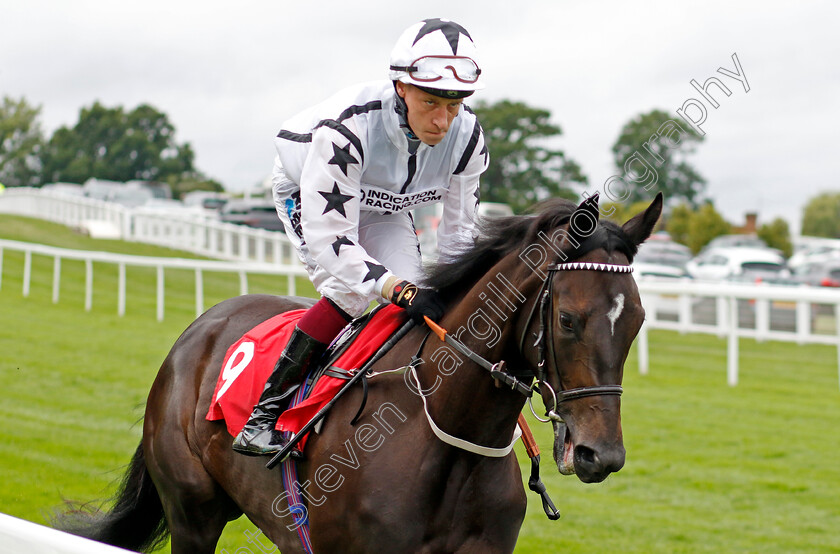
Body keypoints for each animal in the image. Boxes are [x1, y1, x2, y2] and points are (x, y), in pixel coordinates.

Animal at [54, 192, 664, 548]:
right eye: (567, 319)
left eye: (636, 320)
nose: (600, 455)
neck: (447, 435)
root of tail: (198, 329)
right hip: (192, 512)